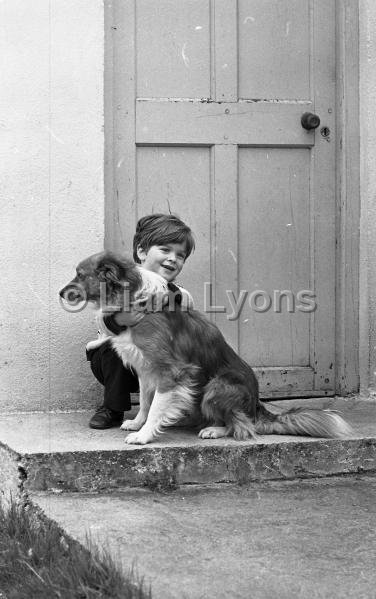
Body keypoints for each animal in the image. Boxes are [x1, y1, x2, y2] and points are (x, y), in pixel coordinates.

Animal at [60, 251, 354, 442]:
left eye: (80, 274)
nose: (60, 293)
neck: (133, 299)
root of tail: (257, 407)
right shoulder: (145, 368)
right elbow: (145, 401)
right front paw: (137, 423)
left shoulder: (172, 372)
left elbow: (156, 406)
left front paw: (144, 435)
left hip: (216, 386)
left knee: (243, 426)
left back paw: (215, 429)